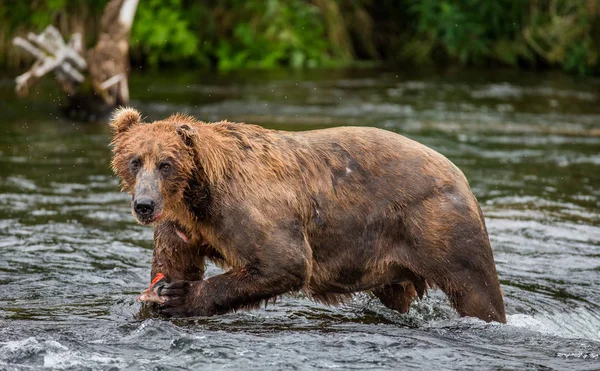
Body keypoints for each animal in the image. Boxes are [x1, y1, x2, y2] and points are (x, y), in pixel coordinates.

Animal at [109, 107, 506, 322]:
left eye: (166, 163)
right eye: (135, 160)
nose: (144, 205)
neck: (196, 197)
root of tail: (460, 174)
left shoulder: (246, 209)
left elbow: (284, 261)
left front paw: (180, 296)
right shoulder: (183, 226)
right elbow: (174, 261)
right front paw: (160, 292)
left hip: (438, 223)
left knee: (475, 288)